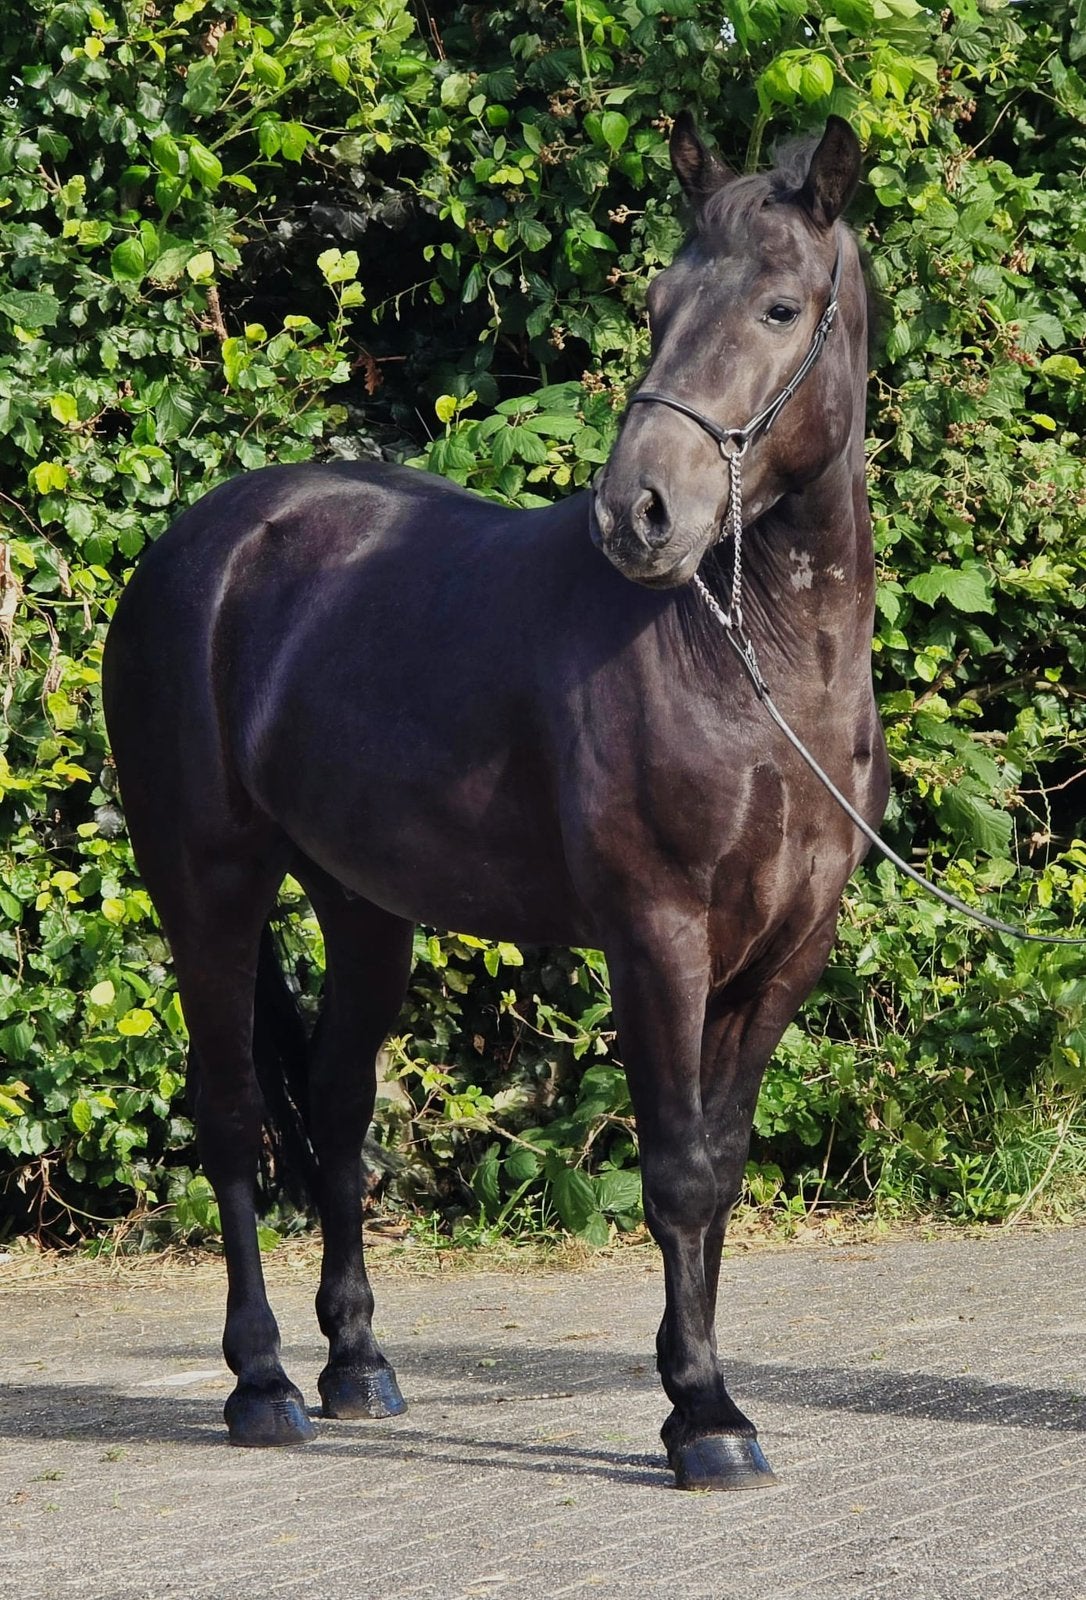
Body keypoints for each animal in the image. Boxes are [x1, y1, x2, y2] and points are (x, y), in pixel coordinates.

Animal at [102, 111, 889, 1491]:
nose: (639, 514)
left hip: (363, 907)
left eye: (782, 307)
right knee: (234, 1115)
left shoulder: (787, 950)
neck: (753, 659)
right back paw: (264, 1383)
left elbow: (722, 1165)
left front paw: (703, 1396)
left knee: (340, 1106)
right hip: (204, 881)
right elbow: (677, 1174)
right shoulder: (657, 938)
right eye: (658, 301)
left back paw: (359, 1367)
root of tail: (199, 545)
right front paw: (705, 1415)